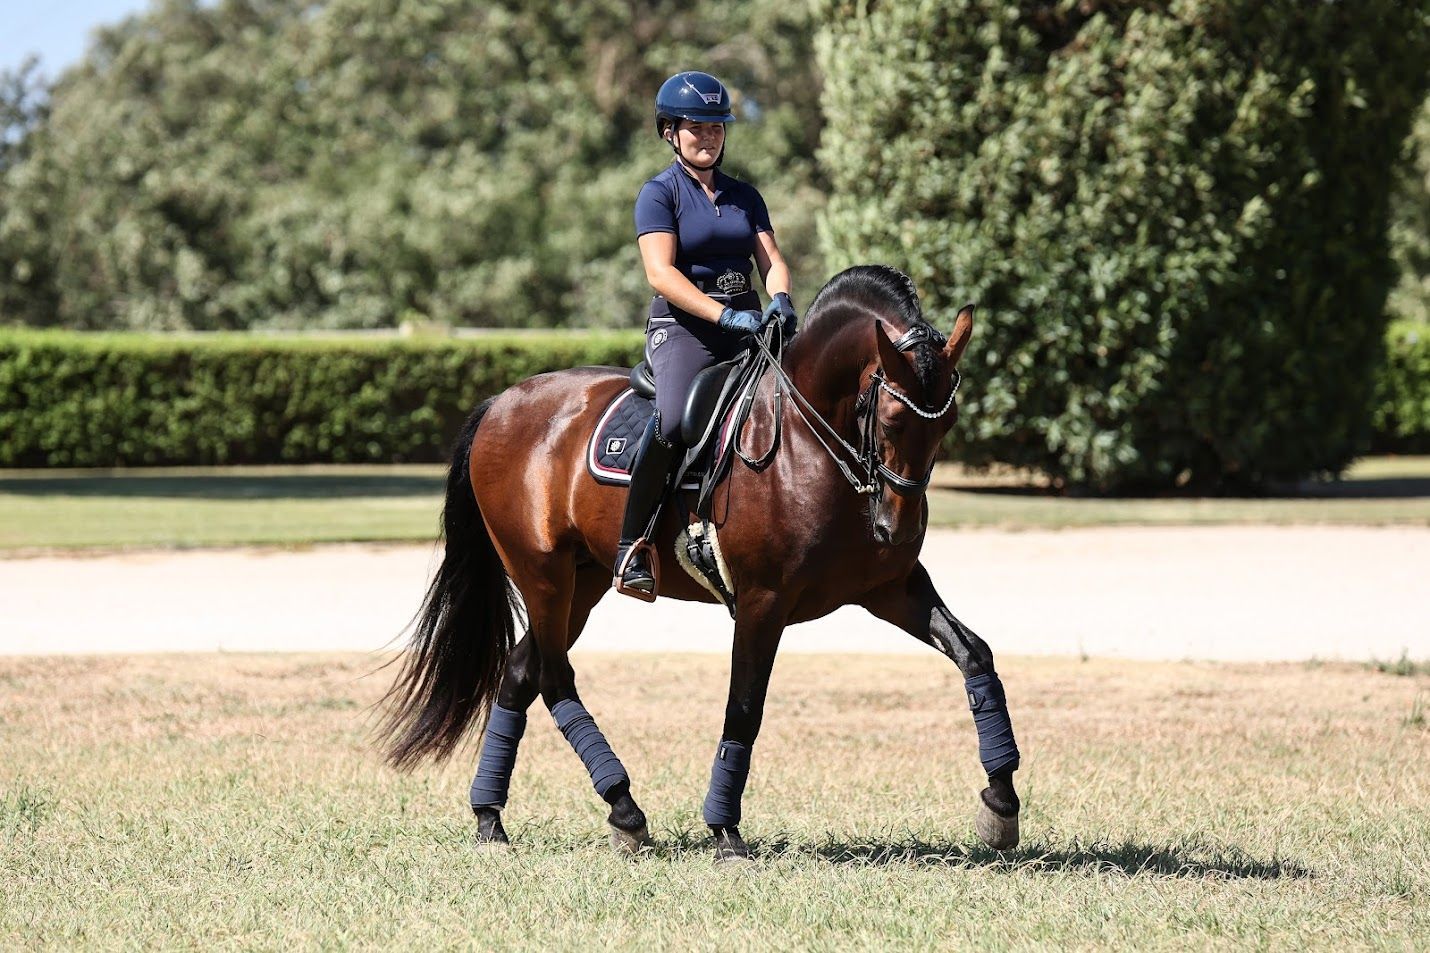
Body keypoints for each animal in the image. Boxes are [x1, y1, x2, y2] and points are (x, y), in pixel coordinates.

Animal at [379, 264, 1022, 863]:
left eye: (947, 422)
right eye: (891, 419)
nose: (898, 528)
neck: (809, 443)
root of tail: (500, 402)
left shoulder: (890, 587)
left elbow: (975, 655)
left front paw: (1001, 802)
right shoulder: (762, 603)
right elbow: (743, 708)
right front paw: (724, 828)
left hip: (581, 583)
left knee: (521, 672)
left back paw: (490, 816)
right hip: (541, 574)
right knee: (555, 677)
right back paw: (624, 808)